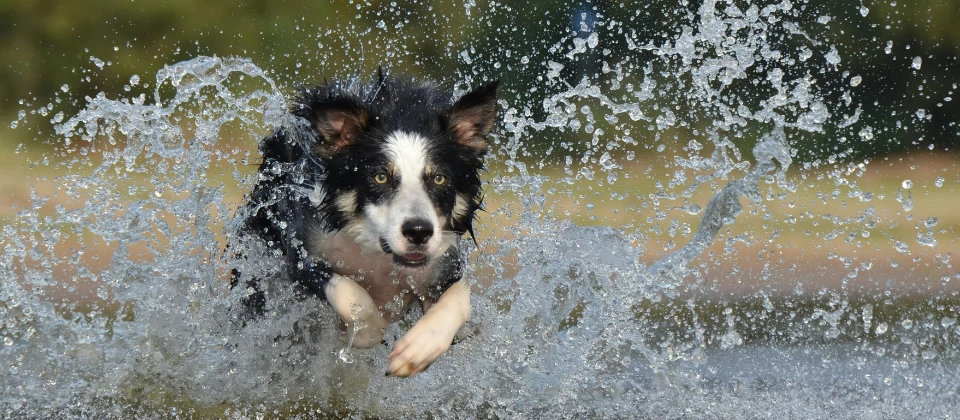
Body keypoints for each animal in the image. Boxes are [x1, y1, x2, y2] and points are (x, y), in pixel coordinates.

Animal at [232, 69, 498, 378]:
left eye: (439, 178)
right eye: (380, 177)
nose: (418, 232)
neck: (377, 253)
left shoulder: (443, 264)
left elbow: (459, 298)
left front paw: (418, 348)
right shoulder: (302, 251)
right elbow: (350, 293)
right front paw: (367, 330)